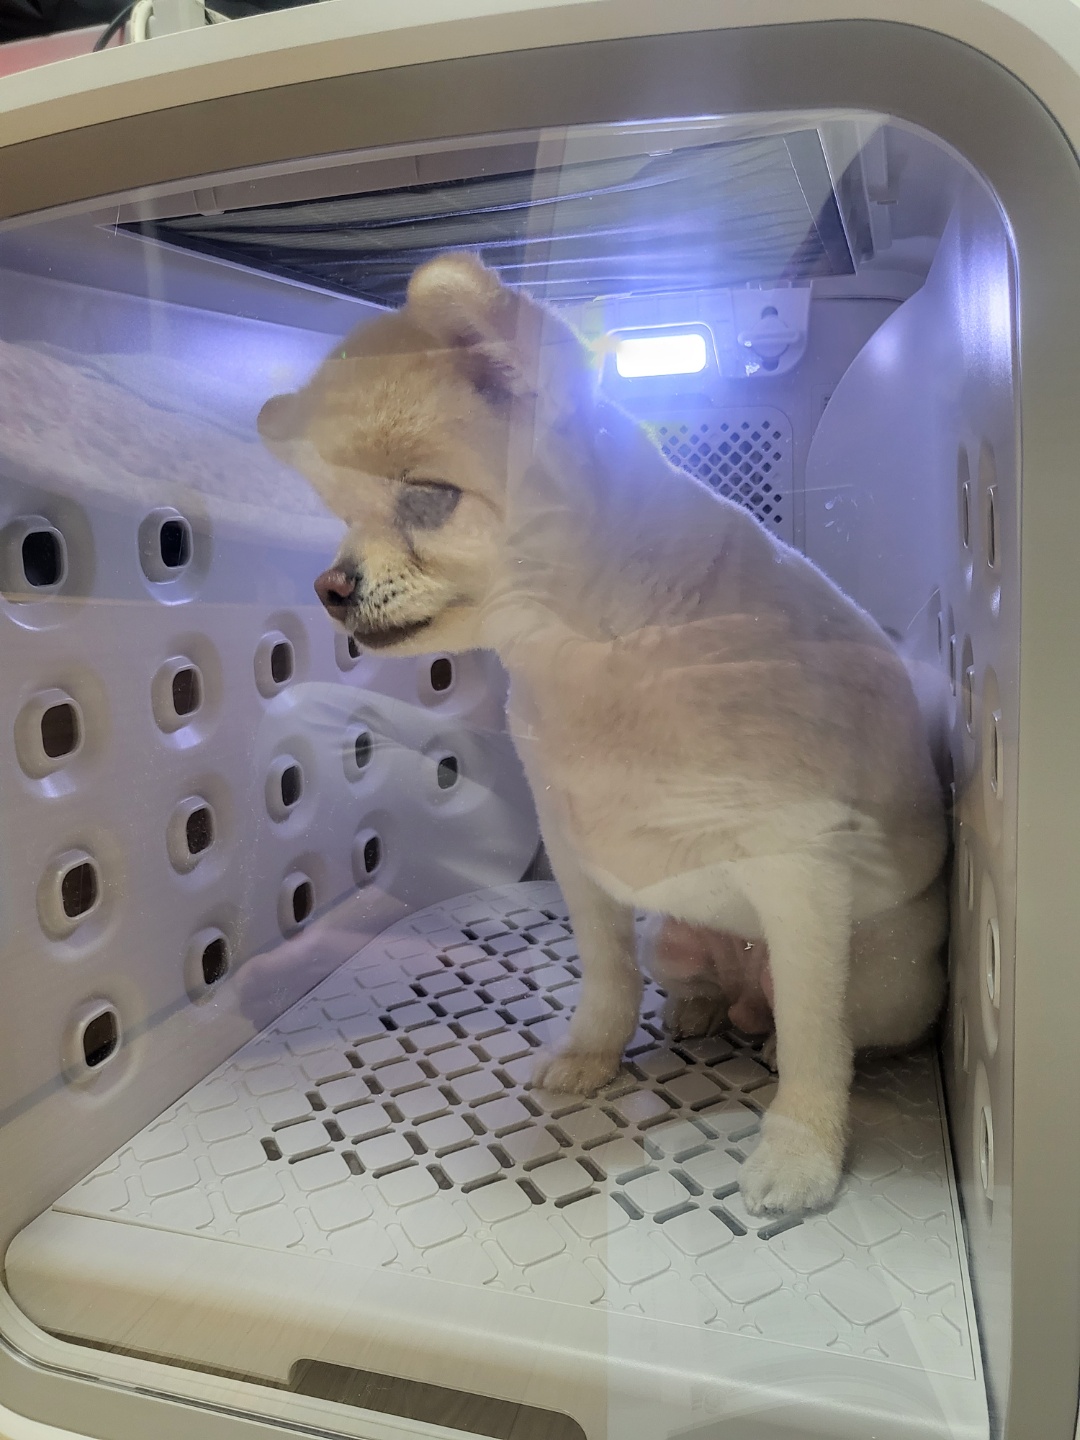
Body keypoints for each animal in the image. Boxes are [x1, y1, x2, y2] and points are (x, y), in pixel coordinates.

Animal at [257, 253, 947, 1214]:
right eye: (341, 514)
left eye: (426, 498)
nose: (329, 586)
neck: (599, 649)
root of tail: (746, 977)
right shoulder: (580, 854)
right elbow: (608, 978)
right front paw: (593, 1054)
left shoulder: (802, 871)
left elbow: (818, 1038)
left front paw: (803, 1148)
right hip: (675, 936)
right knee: (704, 985)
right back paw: (703, 1008)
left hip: (885, 981)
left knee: (823, 1023)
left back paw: (775, 1036)